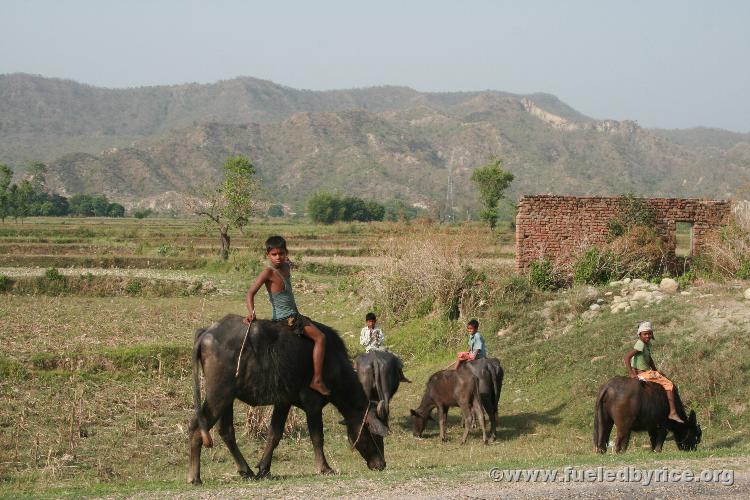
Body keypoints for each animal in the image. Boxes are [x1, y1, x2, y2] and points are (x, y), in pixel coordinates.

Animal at [188, 312, 390, 484]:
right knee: (197, 427)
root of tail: (207, 332)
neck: (333, 364)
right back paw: (194, 477)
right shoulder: (313, 404)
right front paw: (324, 468)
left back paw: (246, 471)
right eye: (374, 434)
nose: (381, 464)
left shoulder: (283, 402)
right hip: (218, 396)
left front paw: (264, 469)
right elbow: (317, 437)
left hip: (227, 399)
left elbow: (274, 435)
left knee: (226, 431)